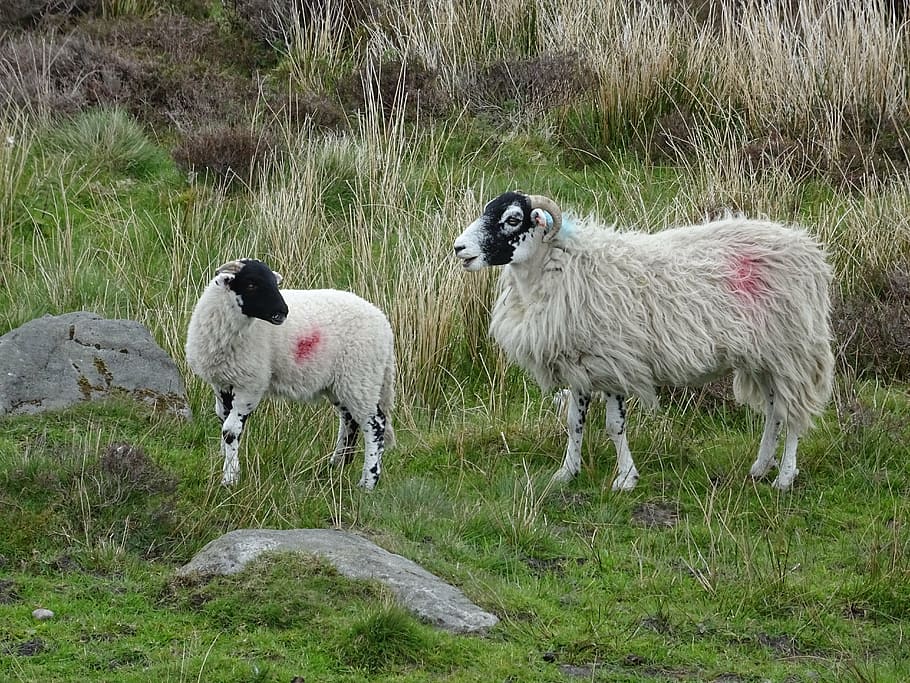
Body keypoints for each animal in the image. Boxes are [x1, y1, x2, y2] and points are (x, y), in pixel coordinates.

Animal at [185, 258, 396, 489]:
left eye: (274, 283)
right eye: (251, 284)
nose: (283, 311)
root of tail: (384, 325)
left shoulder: (251, 384)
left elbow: (230, 430)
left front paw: (230, 478)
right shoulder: (222, 382)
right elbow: (223, 420)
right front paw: (226, 460)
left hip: (361, 376)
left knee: (374, 423)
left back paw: (368, 481)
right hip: (341, 382)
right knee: (350, 420)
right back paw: (336, 465)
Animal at [453, 191, 834, 492]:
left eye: (512, 219)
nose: (459, 248)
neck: (560, 266)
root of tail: (808, 249)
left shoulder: (614, 362)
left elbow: (614, 425)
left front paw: (626, 479)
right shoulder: (579, 365)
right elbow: (574, 423)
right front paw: (567, 472)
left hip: (792, 350)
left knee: (793, 413)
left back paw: (784, 477)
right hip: (765, 356)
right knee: (774, 410)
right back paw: (760, 467)